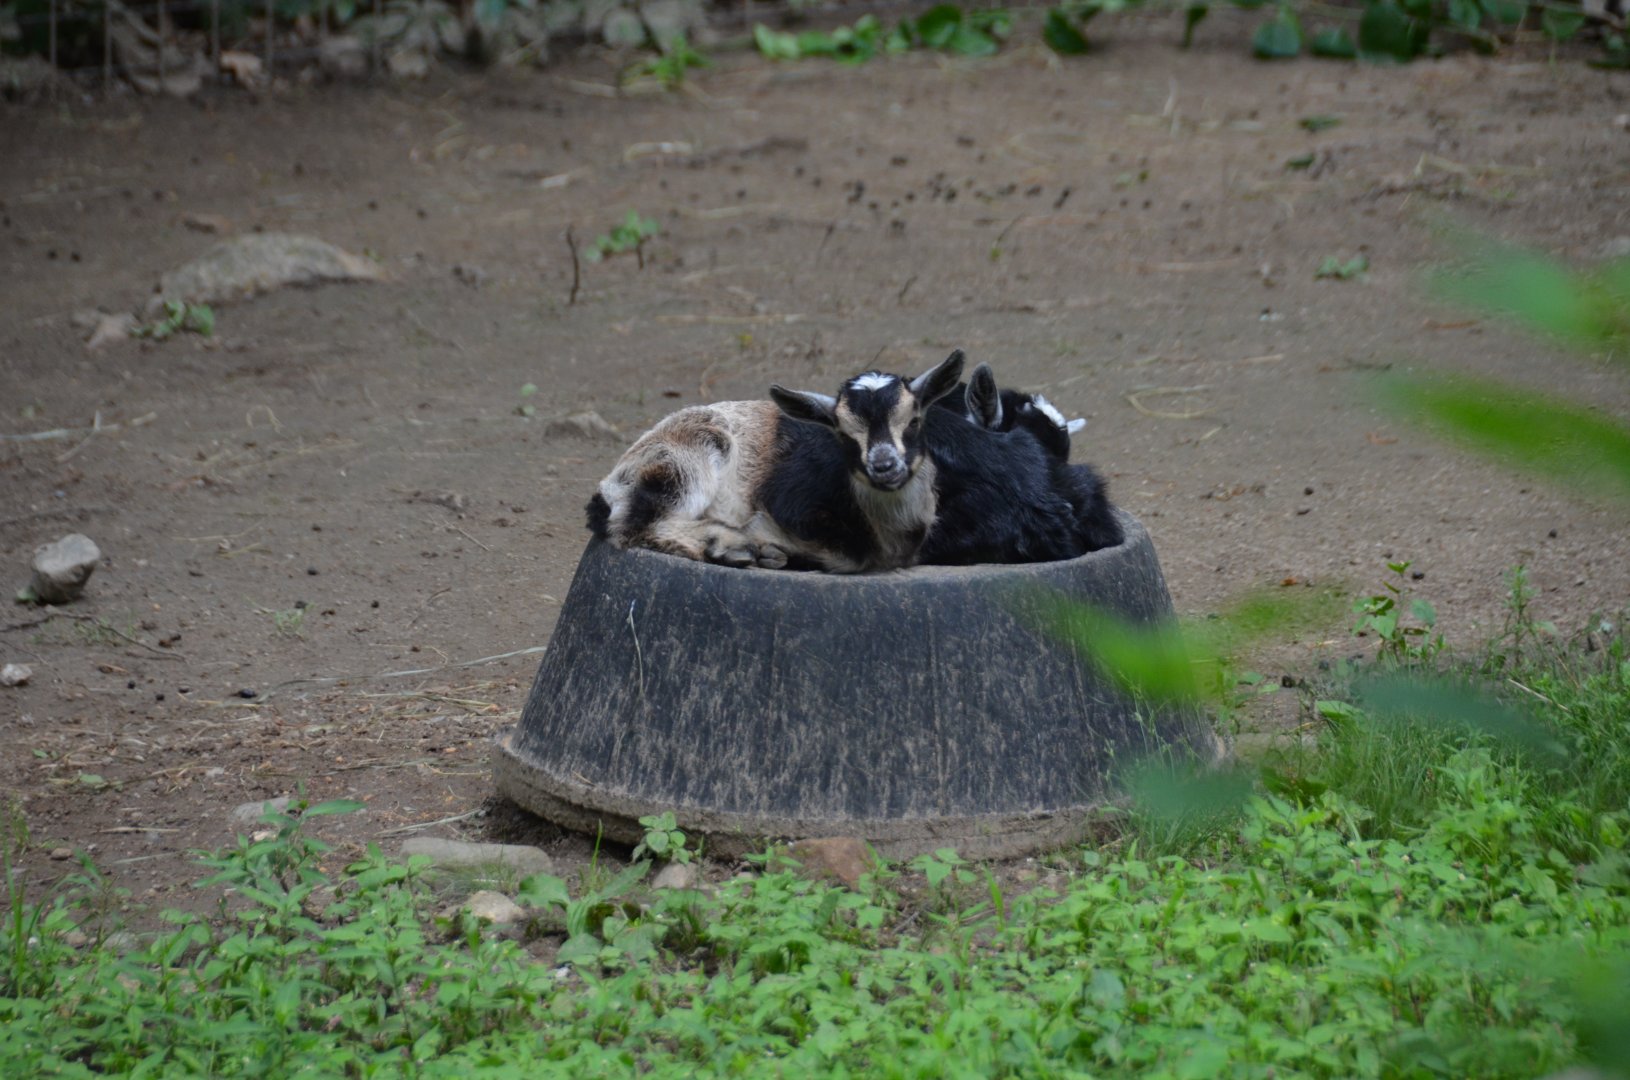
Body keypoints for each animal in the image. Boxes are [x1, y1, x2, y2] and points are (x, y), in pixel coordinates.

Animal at [586, 351, 968, 573]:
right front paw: (768, 544)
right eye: (843, 434)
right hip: (689, 460)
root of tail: (609, 485)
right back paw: (730, 547)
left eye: (914, 420)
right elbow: (848, 556)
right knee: (632, 526)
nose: (885, 467)